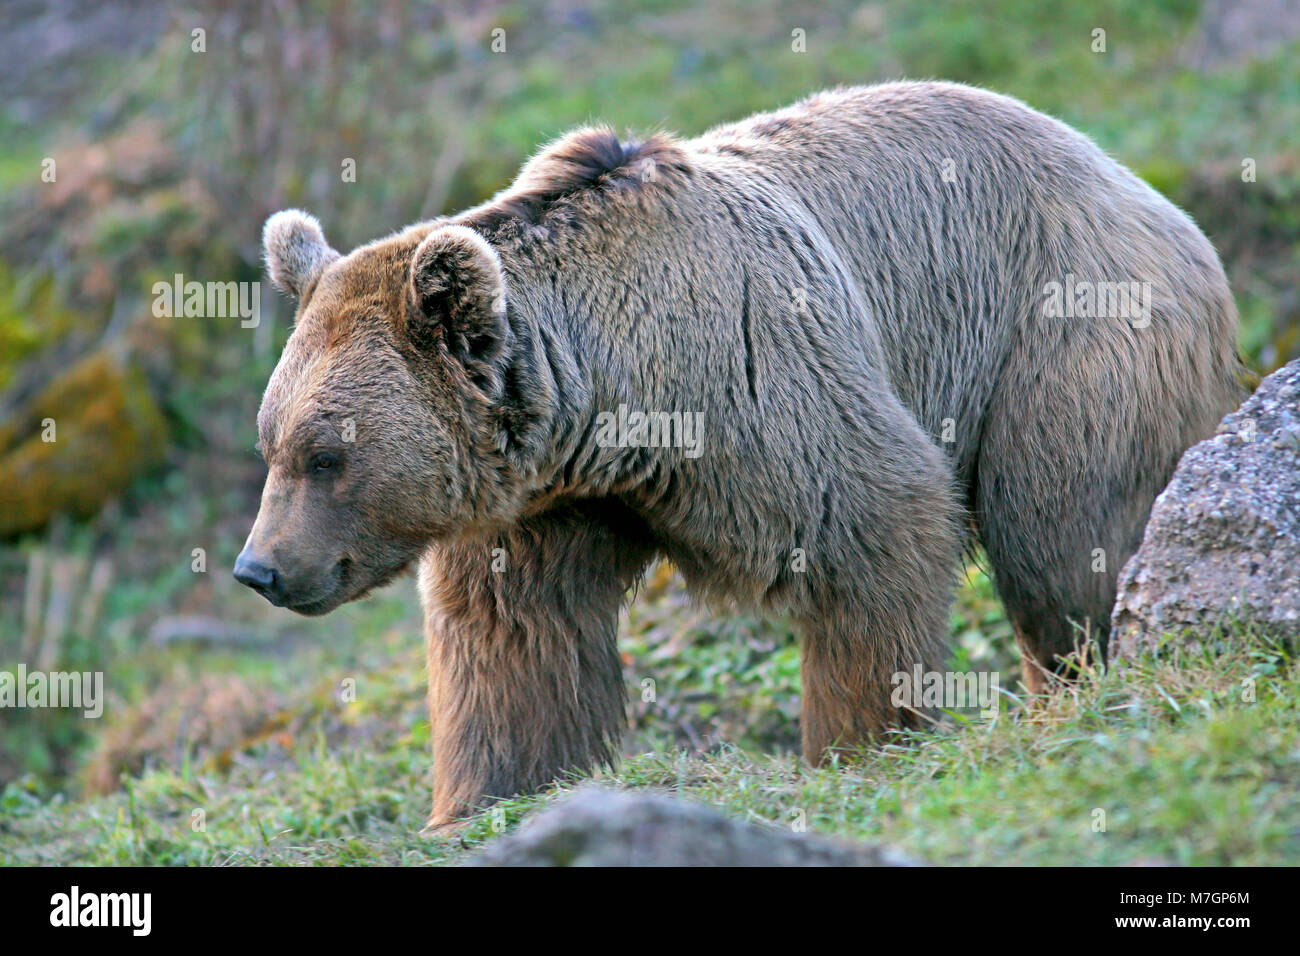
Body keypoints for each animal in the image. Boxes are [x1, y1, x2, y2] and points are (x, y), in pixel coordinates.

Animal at [239, 83, 1242, 832]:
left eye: (327, 455)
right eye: (273, 441)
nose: (260, 568)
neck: (613, 400)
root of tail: (1154, 198)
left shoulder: (765, 385)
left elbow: (877, 533)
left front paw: (863, 748)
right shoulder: (545, 501)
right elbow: (517, 640)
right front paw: (489, 797)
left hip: (1066, 342)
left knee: (1062, 548)